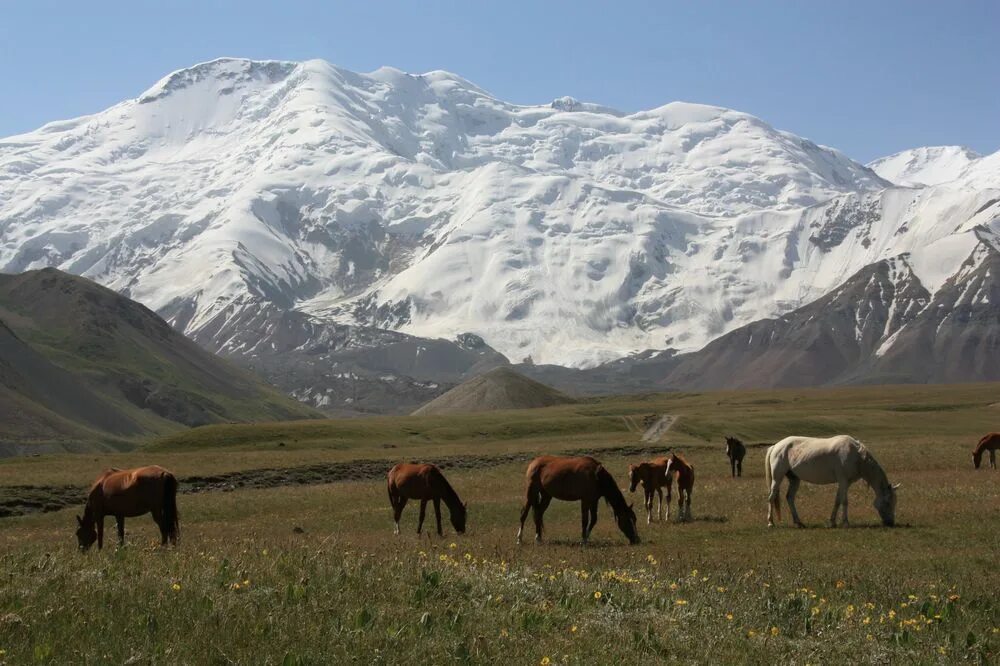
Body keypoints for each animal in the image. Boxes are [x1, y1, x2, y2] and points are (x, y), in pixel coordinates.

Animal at [764, 434, 900, 528]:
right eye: (888, 502)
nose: (891, 523)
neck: (857, 457)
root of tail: (776, 446)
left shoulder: (845, 483)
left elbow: (837, 501)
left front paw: (832, 522)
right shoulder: (843, 481)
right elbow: (845, 501)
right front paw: (845, 523)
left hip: (794, 479)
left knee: (790, 498)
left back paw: (798, 523)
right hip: (777, 478)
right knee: (771, 497)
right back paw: (771, 523)